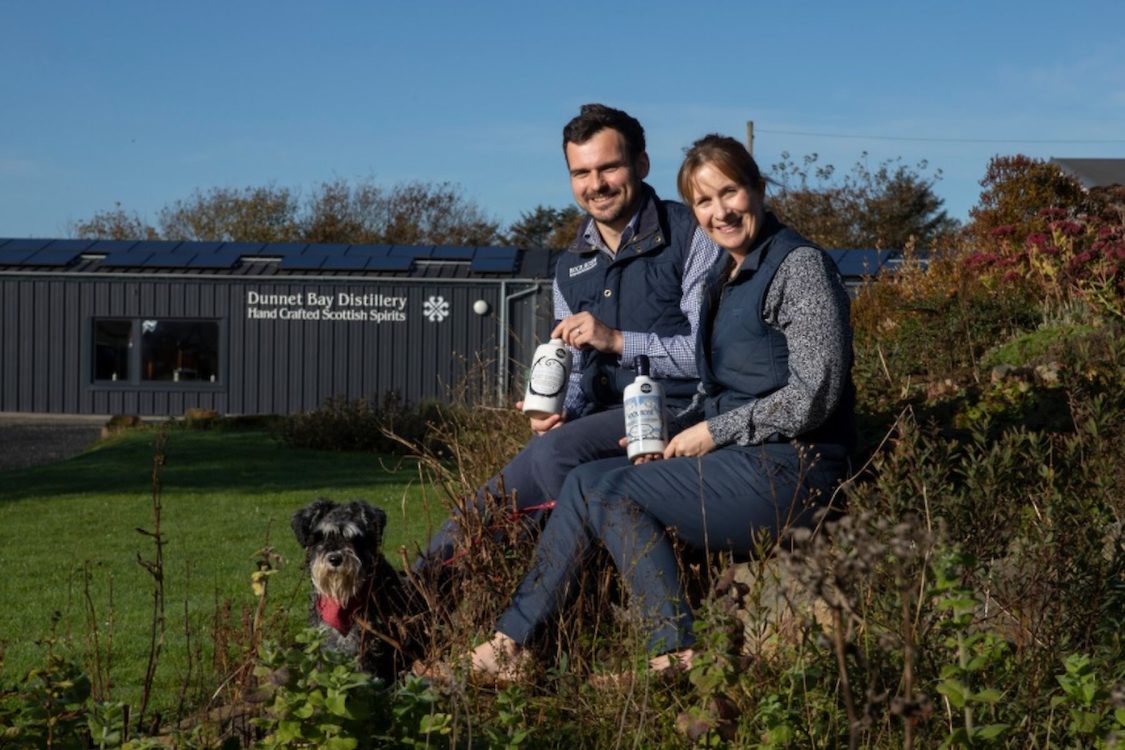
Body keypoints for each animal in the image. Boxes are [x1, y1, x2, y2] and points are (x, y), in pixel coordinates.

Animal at [290, 499, 423, 679]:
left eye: (354, 538)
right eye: (320, 537)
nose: (335, 559)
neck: (342, 600)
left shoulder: (367, 642)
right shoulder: (323, 638)